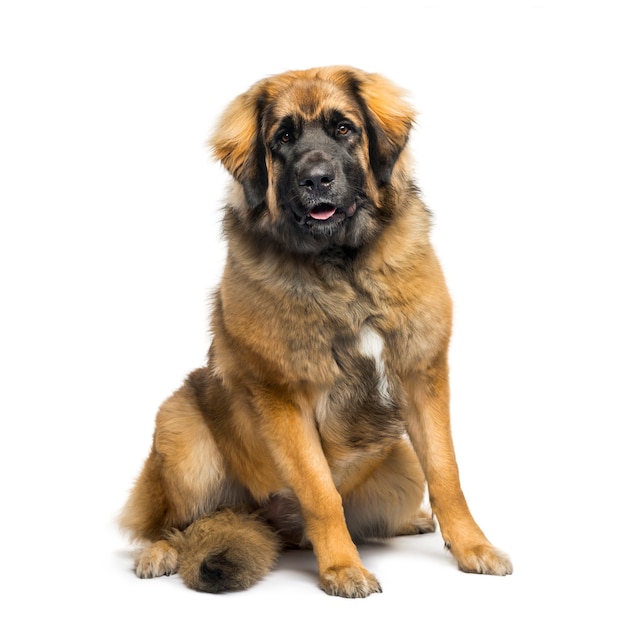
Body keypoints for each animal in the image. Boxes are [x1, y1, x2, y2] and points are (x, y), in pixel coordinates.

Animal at [118, 66, 512, 596]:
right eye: (283, 138)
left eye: (343, 128)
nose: (316, 179)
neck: (341, 266)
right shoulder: (285, 398)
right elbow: (322, 493)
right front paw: (343, 568)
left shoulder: (422, 375)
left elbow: (447, 474)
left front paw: (472, 547)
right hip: (182, 433)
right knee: (165, 523)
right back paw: (158, 551)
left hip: (401, 463)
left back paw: (410, 520)